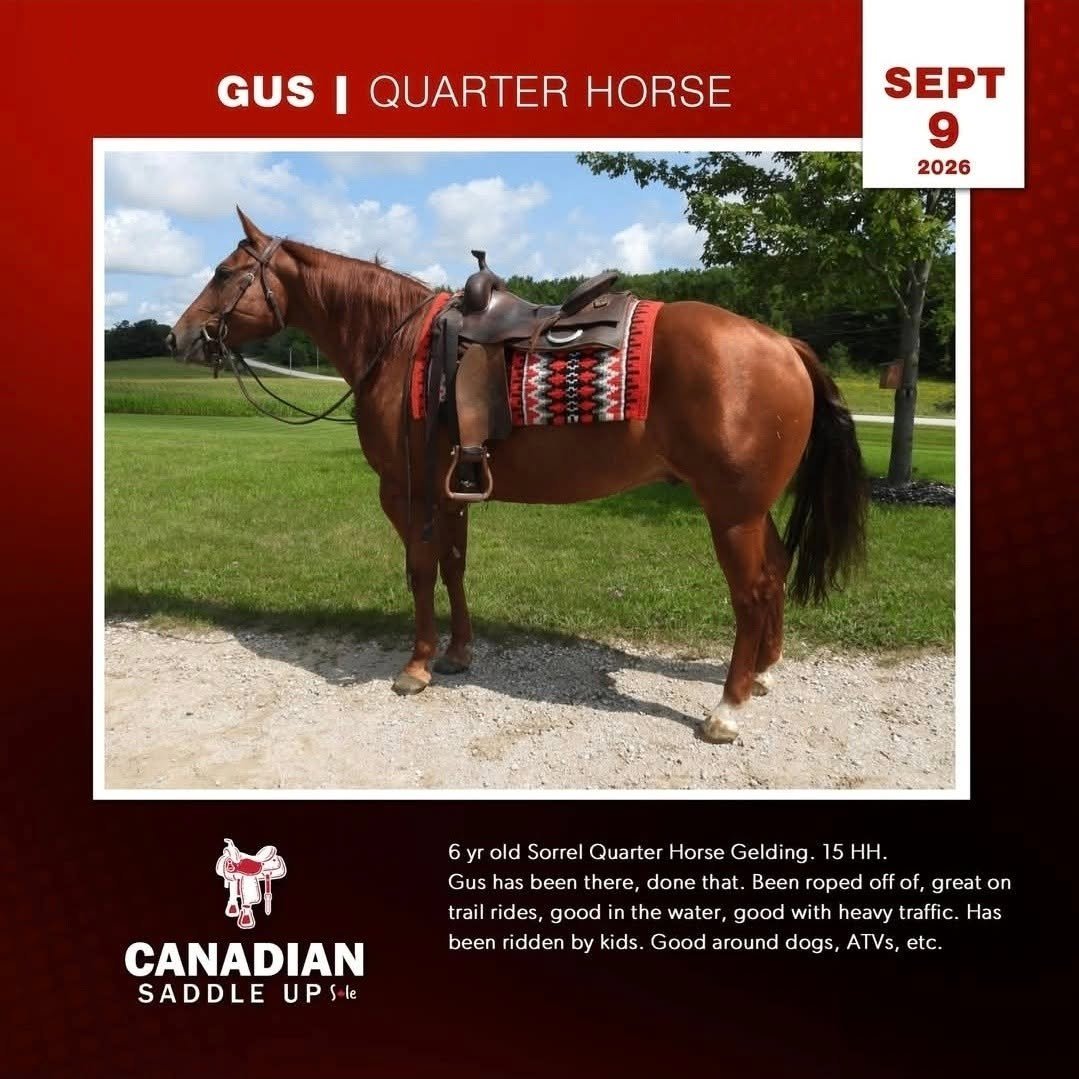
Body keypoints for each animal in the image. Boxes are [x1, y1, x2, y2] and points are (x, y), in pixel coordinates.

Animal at [167, 208, 867, 744]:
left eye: (224, 273)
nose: (178, 337)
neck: (397, 343)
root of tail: (781, 343)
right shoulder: (452, 492)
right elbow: (454, 567)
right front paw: (457, 654)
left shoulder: (407, 492)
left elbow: (420, 570)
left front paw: (417, 664)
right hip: (752, 509)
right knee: (775, 572)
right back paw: (765, 673)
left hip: (731, 513)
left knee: (752, 592)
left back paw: (727, 707)